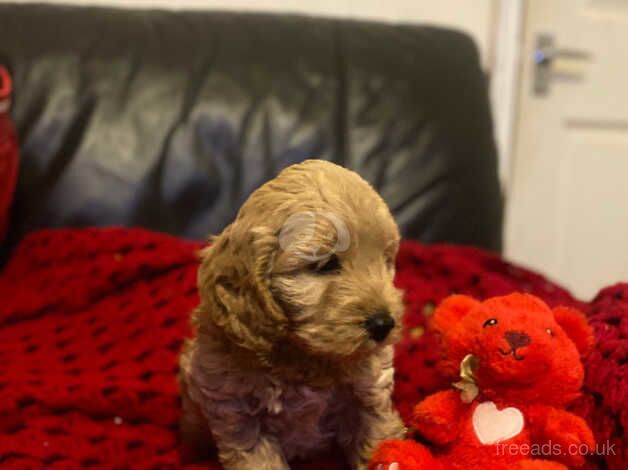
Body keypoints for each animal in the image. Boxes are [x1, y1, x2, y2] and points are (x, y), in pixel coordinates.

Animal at [180, 160, 408, 468]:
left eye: (385, 261)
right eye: (326, 265)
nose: (384, 324)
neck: (304, 356)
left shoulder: (368, 394)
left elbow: (377, 438)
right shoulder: (238, 413)